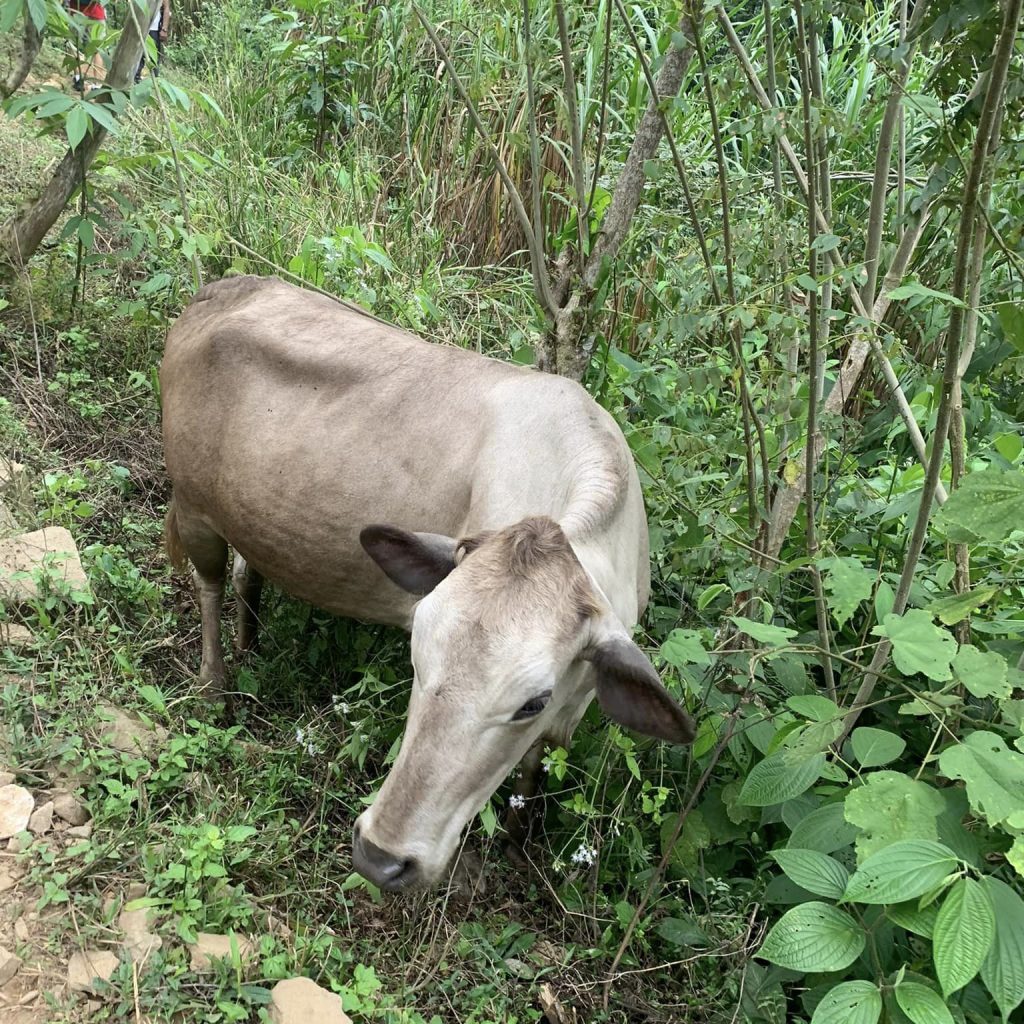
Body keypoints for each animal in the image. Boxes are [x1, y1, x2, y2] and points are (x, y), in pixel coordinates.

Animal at [161, 276, 696, 892]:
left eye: (532, 702)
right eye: (417, 654)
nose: (380, 856)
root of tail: (226, 287)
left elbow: (532, 767)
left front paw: (517, 843)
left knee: (247, 574)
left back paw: (250, 644)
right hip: (194, 507)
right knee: (209, 585)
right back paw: (214, 685)